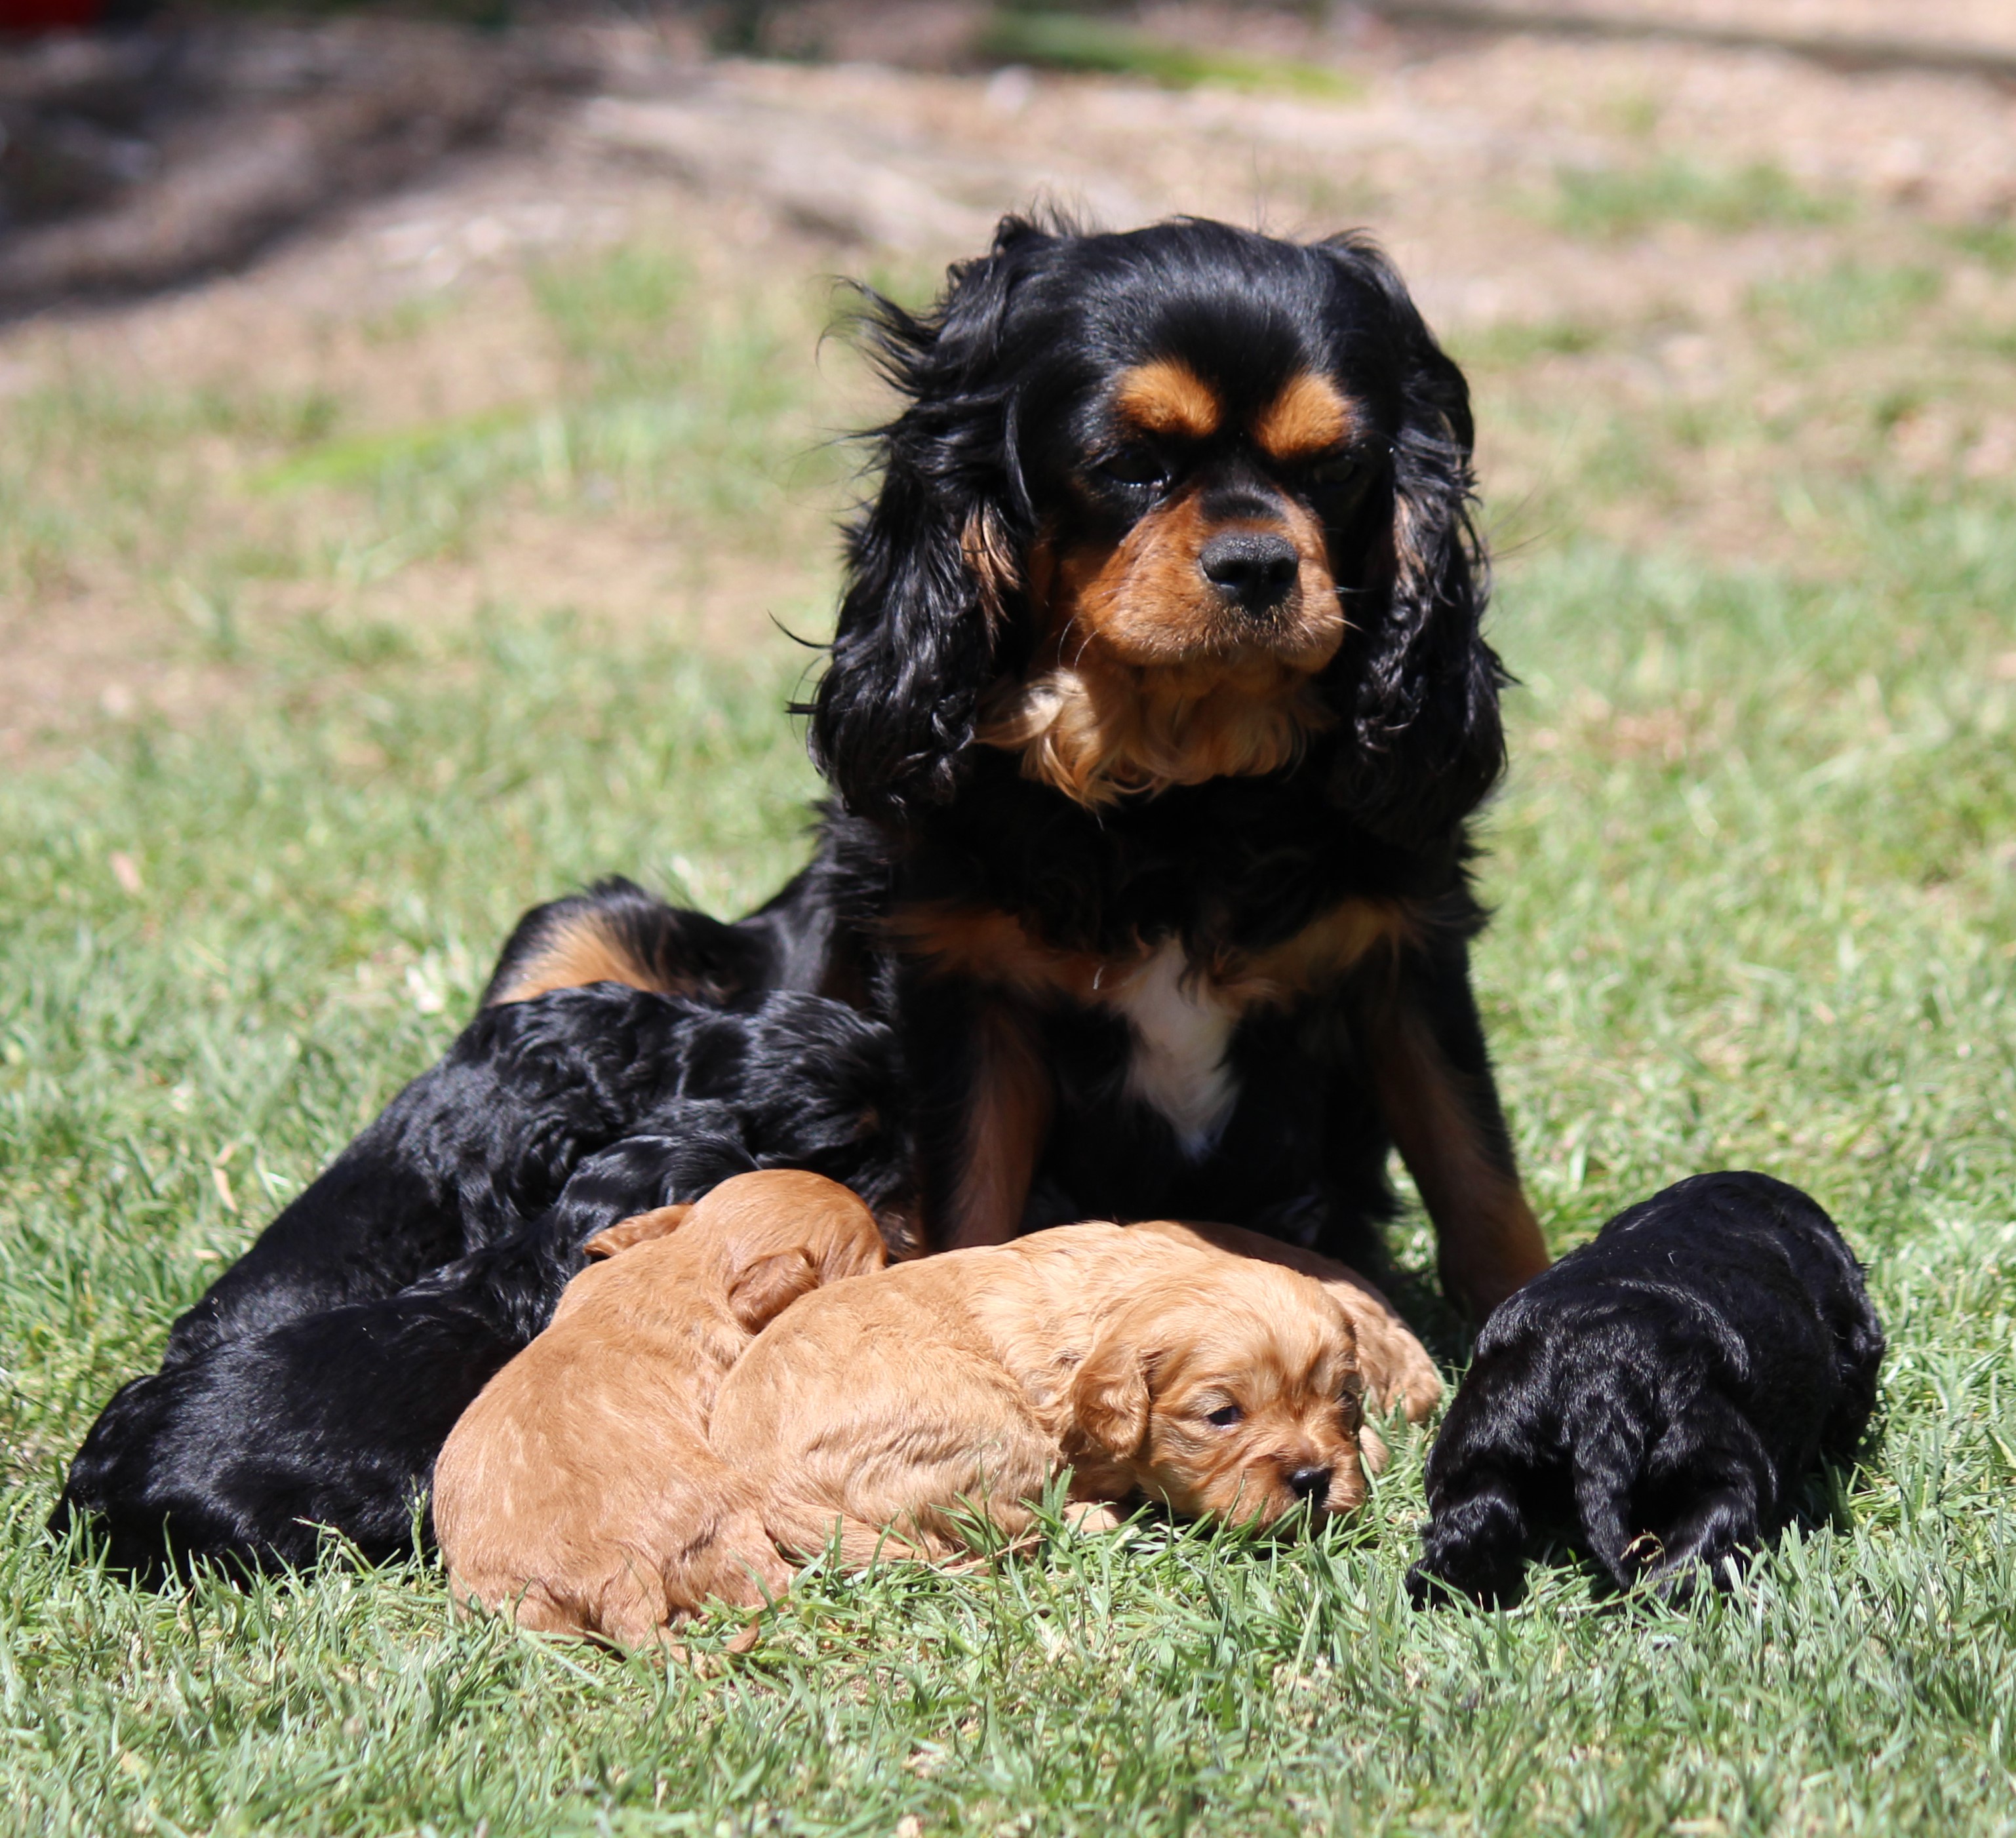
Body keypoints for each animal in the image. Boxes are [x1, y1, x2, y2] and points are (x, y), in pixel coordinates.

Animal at [479, 208, 1548, 1314]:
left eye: (1335, 469)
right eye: (1127, 462)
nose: (1259, 565)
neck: (1181, 796)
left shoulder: (1405, 946)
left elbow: (1474, 1168)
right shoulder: (963, 984)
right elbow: (969, 1199)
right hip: (577, 932)